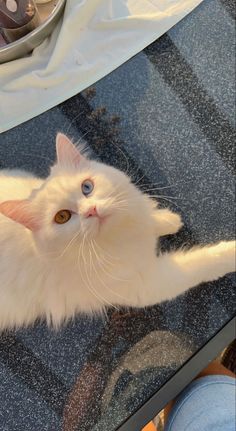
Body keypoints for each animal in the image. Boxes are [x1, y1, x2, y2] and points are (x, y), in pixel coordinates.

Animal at [0, 135, 235, 330]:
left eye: (87, 187)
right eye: (62, 217)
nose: (91, 211)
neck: (118, 237)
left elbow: (150, 218)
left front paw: (168, 220)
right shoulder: (148, 283)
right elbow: (202, 263)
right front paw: (230, 253)